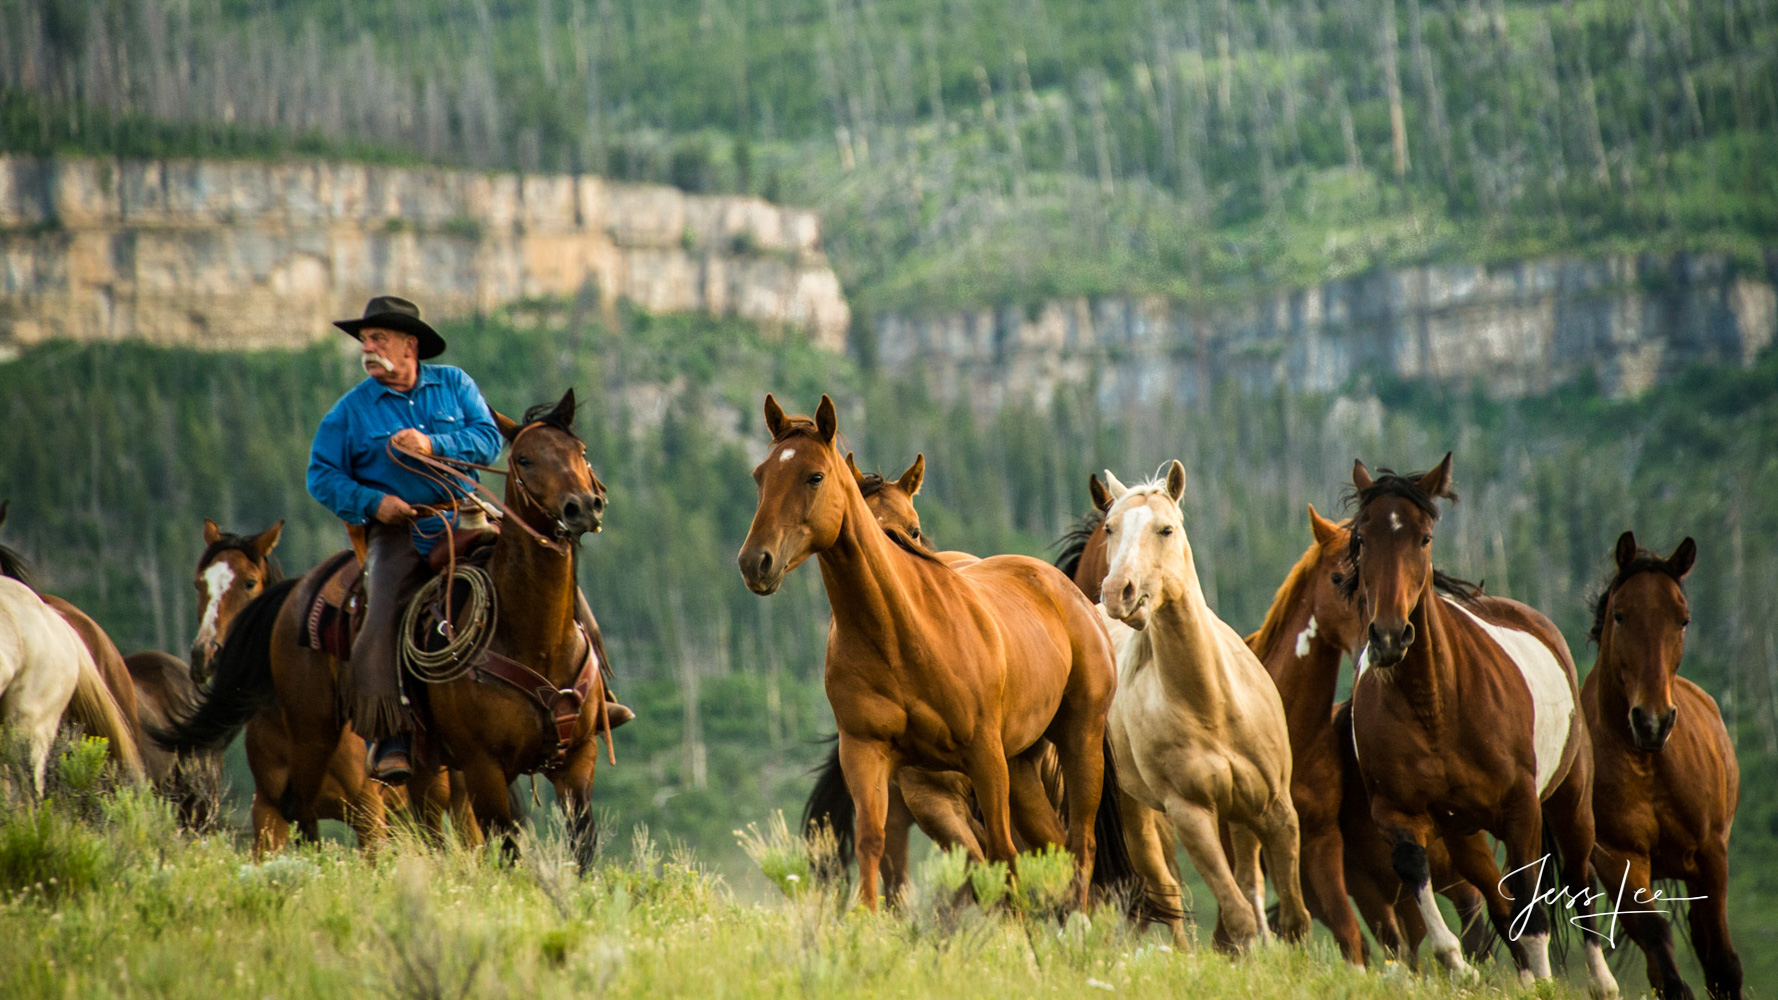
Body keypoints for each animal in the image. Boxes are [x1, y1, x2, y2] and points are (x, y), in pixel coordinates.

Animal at [307, 291, 632, 782]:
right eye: (523, 459)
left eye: (581, 451)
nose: (582, 508)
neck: (537, 641)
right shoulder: (486, 768)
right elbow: (326, 471)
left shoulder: (578, 759)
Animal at [736, 393, 1109, 907]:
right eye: (759, 475)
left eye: (814, 476)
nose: (756, 562)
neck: (901, 640)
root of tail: (1066, 591)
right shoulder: (866, 752)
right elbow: (873, 845)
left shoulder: (984, 756)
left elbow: (1001, 854)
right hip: (1021, 765)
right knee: (1053, 847)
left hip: (1079, 739)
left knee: (1080, 845)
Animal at [1088, 462, 1315, 946]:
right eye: (1110, 528)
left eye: (1166, 529)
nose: (1118, 591)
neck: (1211, 704)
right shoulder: (1190, 814)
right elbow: (1239, 916)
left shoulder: (1276, 809)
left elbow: (1293, 916)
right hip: (1132, 812)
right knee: (1164, 890)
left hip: (1238, 814)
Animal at [1337, 455, 1621, 989]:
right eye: (1361, 537)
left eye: (1424, 537)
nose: (1388, 637)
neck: (1437, 708)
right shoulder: (1396, 813)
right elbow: (1417, 871)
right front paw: (1459, 963)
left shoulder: (1521, 811)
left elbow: (1534, 907)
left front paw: (1544, 984)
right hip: (1465, 834)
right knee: (1499, 898)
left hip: (1571, 802)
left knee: (1577, 881)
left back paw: (1601, 983)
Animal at [1585, 530, 1735, 996]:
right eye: (1620, 616)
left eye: (1682, 620)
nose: (1652, 721)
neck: (1648, 765)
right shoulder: (1620, 858)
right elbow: (1659, 946)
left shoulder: (1710, 855)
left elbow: (1722, 962)